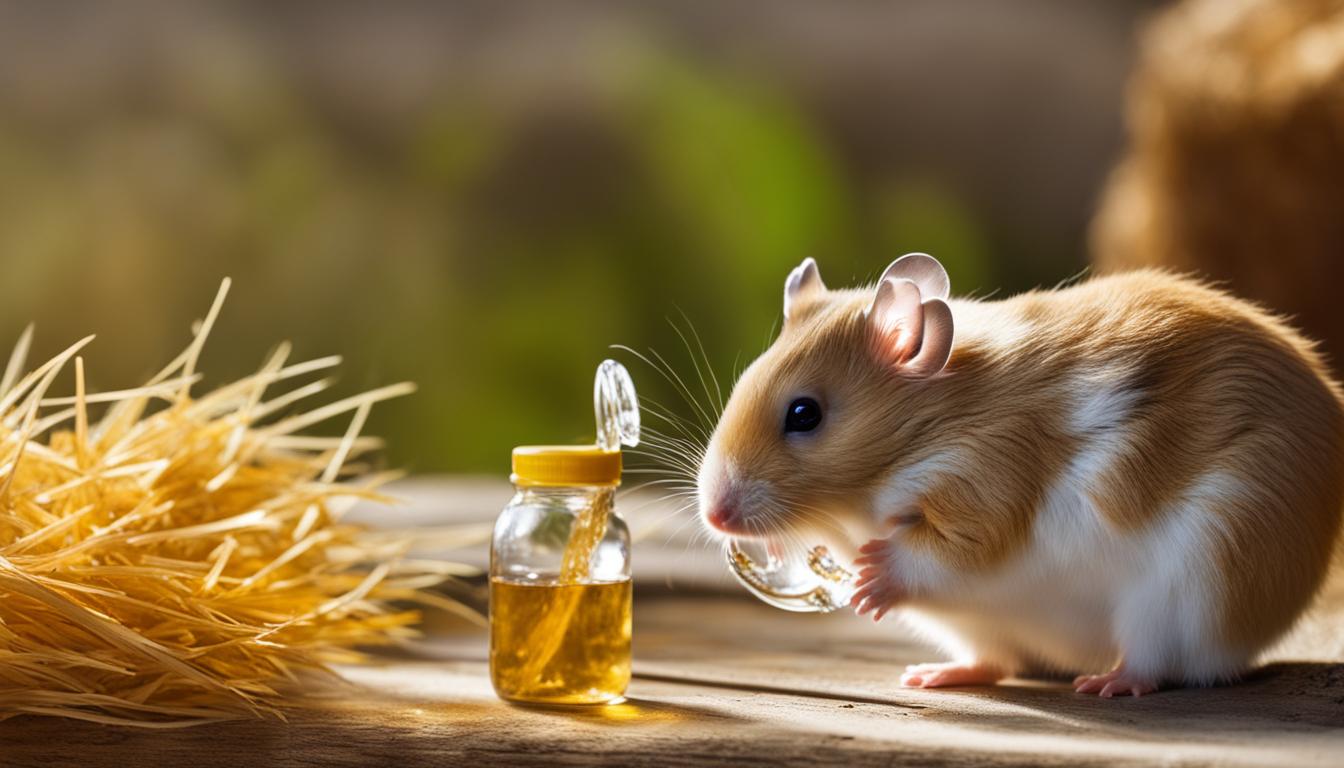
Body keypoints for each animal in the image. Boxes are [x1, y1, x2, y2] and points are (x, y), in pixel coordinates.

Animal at [697, 254, 1344, 697]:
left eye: (804, 414)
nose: (713, 516)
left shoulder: (987, 484)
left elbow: (942, 553)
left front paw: (868, 576)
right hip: (978, 626)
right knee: (996, 660)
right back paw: (932, 675)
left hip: (1191, 592)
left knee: (1164, 665)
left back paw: (1111, 682)